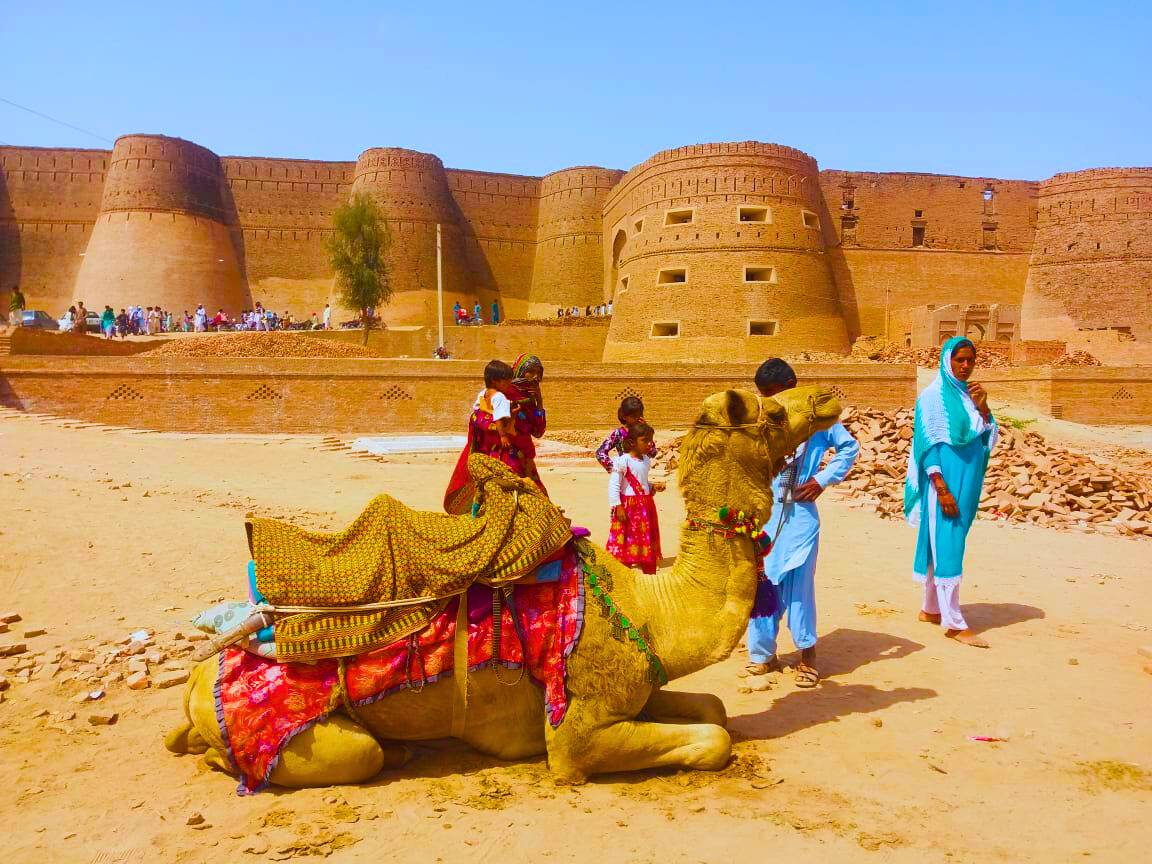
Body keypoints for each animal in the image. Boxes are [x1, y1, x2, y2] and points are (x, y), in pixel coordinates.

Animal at [167, 387, 843, 792]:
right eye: (773, 412)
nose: (827, 396)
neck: (651, 610)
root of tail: (200, 677)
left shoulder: (638, 690)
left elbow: (714, 709)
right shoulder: (575, 736)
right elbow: (714, 737)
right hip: (291, 733)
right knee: (352, 756)